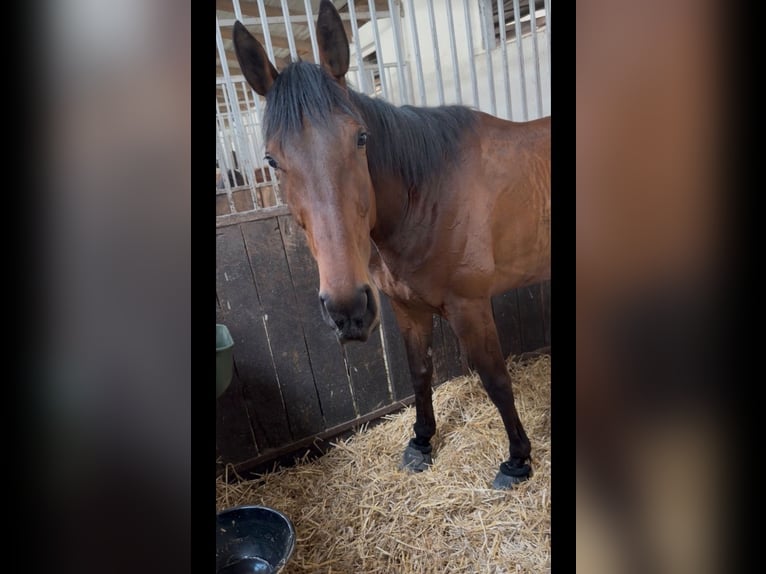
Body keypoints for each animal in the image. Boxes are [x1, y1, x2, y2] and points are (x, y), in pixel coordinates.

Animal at [232, 0, 550, 489]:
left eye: (360, 138)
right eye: (271, 160)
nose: (347, 309)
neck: (429, 195)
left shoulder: (471, 305)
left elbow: (495, 378)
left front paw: (516, 460)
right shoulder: (406, 306)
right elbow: (419, 374)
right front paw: (421, 443)